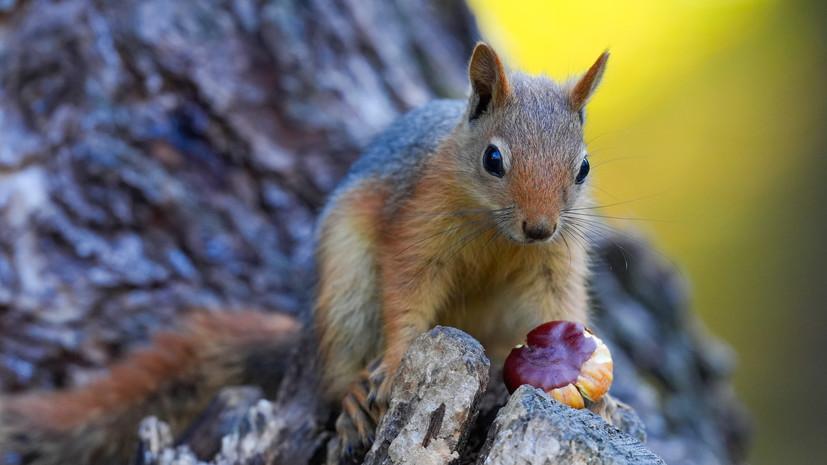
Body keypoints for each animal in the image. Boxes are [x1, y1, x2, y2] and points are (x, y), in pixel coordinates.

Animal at [0, 41, 608, 462]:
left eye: (583, 168)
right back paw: (354, 405)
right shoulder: (415, 224)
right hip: (344, 297)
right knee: (333, 376)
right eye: (493, 160)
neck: (498, 237)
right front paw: (397, 359)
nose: (539, 227)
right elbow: (407, 291)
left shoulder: (554, 263)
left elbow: (558, 307)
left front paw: (598, 392)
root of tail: (302, 345)